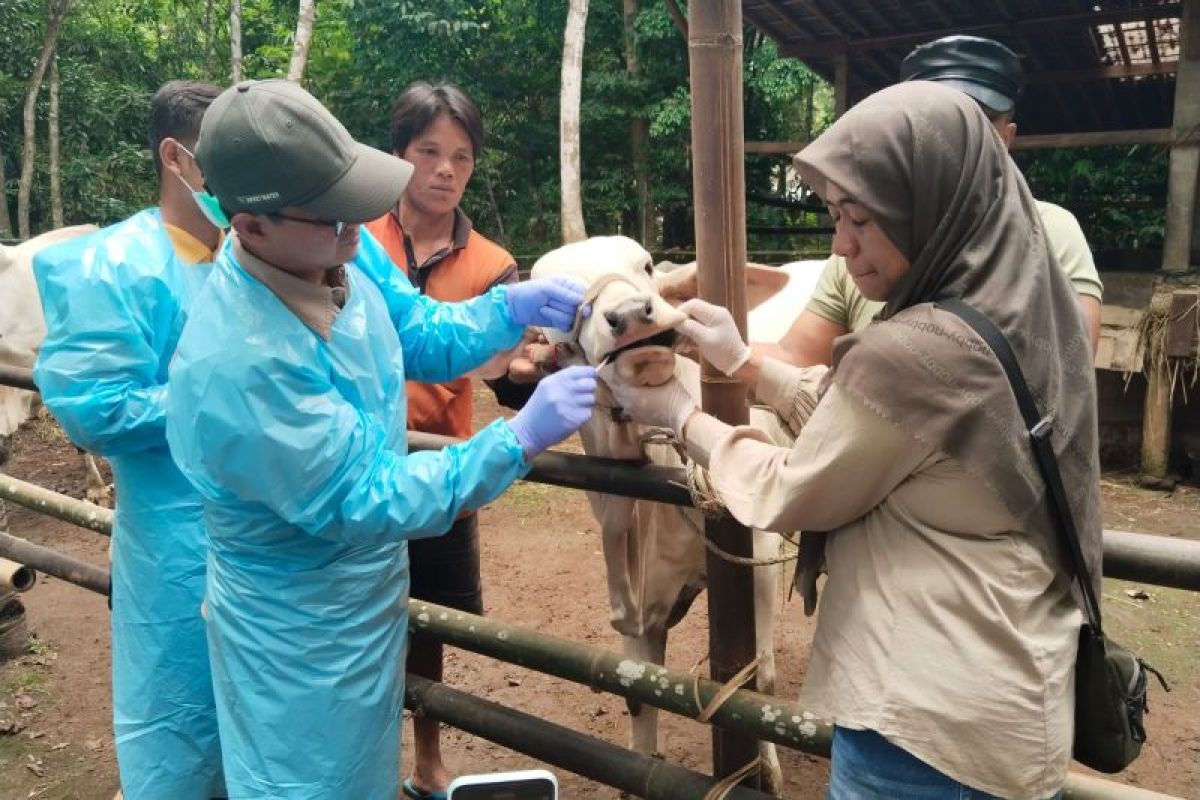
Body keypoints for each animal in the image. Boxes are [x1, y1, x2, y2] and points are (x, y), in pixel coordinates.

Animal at [535, 237, 825, 796]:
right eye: (558, 302)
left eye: (647, 266)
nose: (630, 315)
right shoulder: (637, 601)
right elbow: (637, 692)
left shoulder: (757, 558)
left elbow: (760, 680)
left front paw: (767, 772)